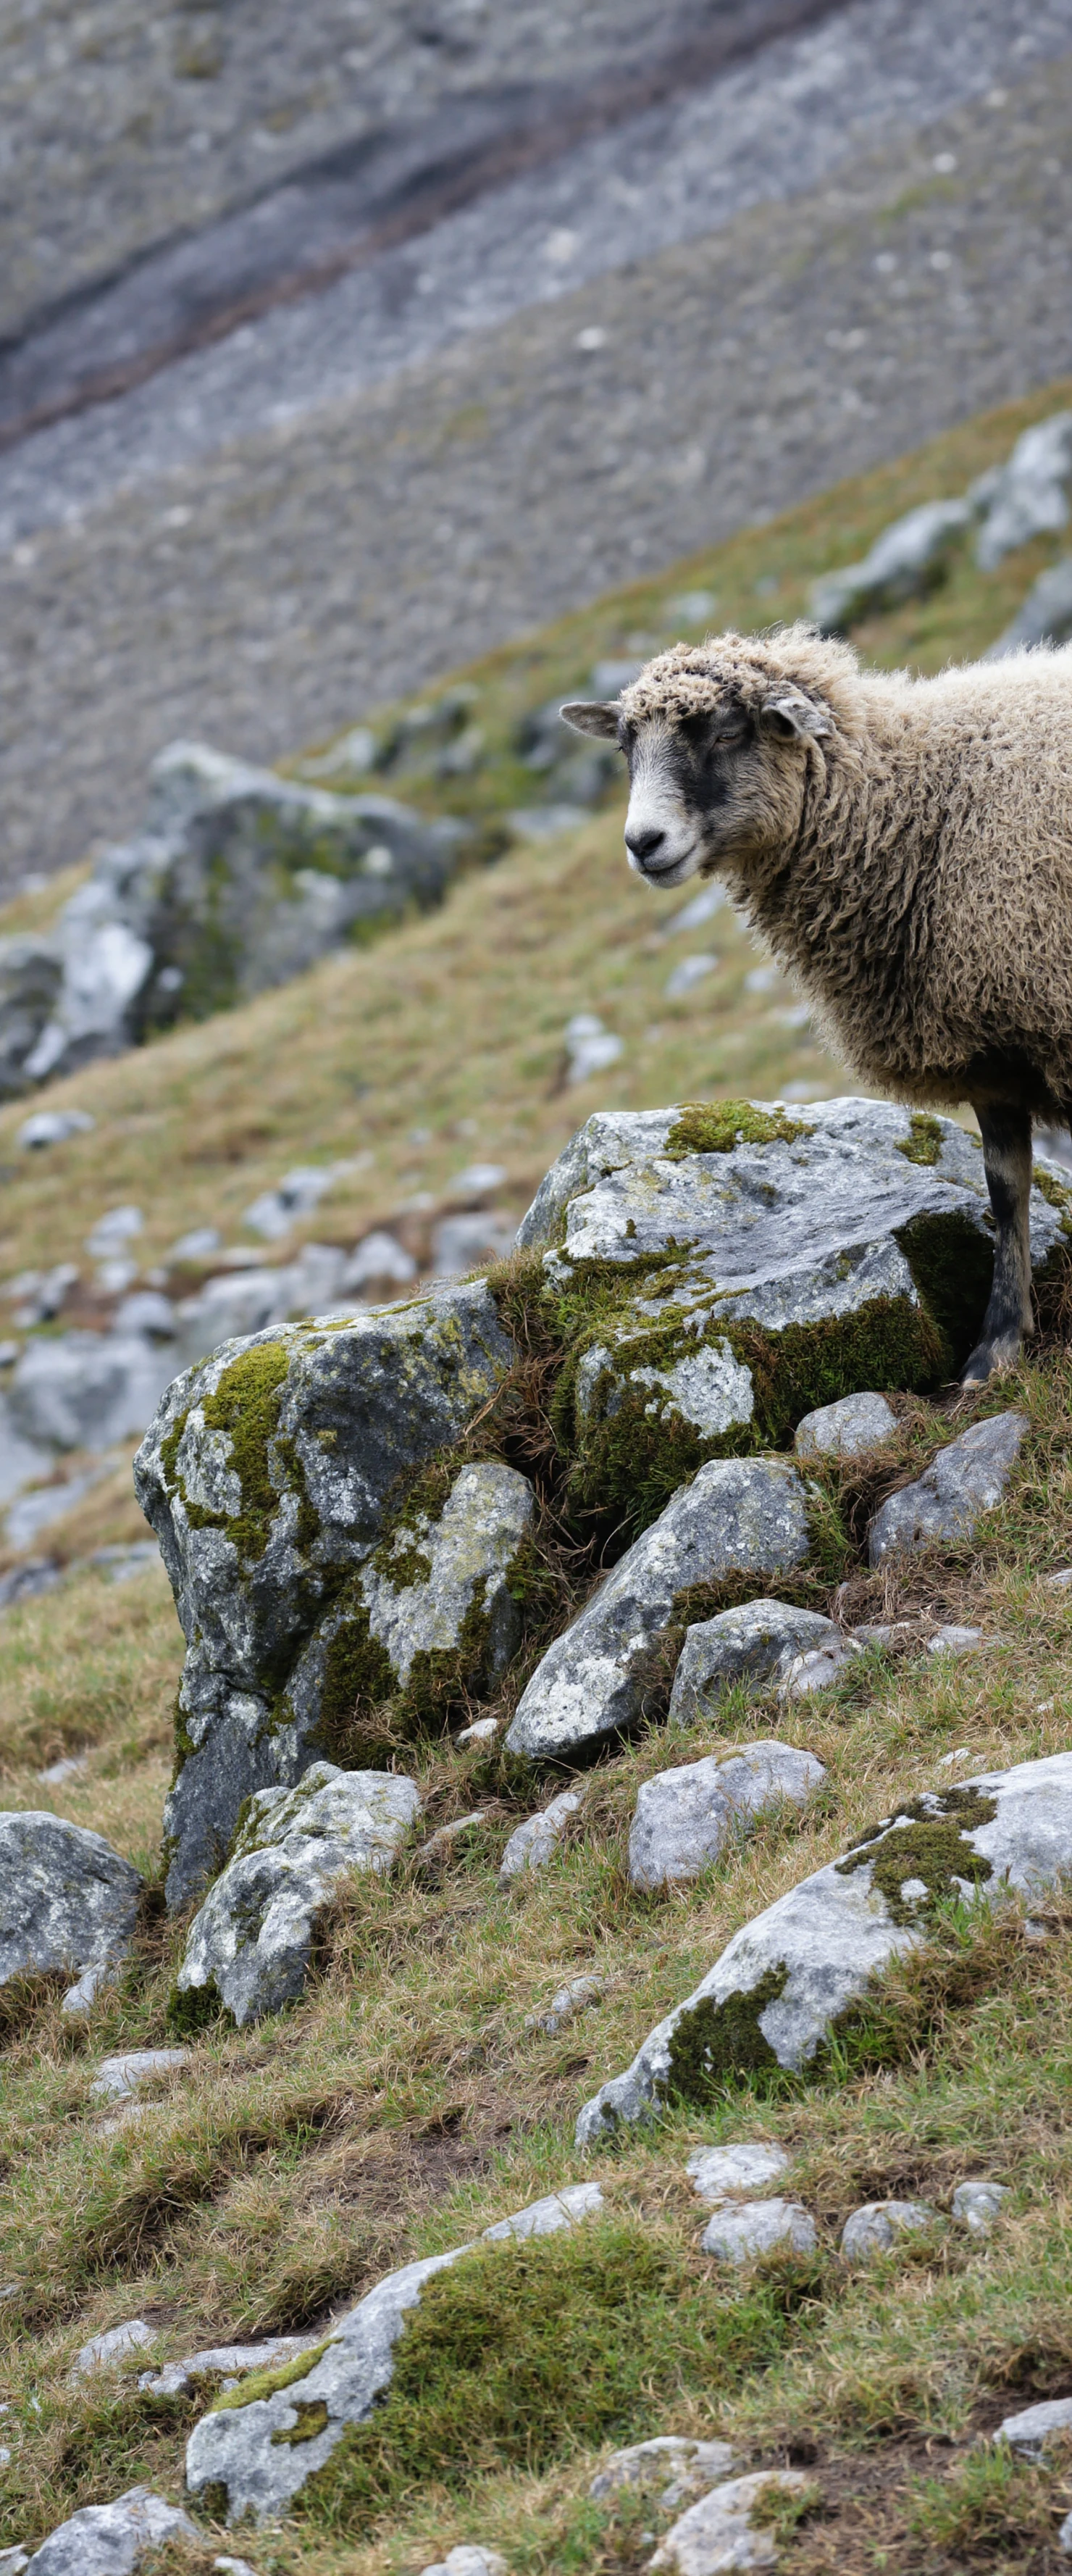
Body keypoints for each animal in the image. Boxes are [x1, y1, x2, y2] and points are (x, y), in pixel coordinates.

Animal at [561, 624, 1072, 1385]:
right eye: (626, 748)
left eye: (729, 731)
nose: (643, 843)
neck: (917, 803)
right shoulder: (990, 1048)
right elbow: (1006, 1192)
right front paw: (997, 1349)